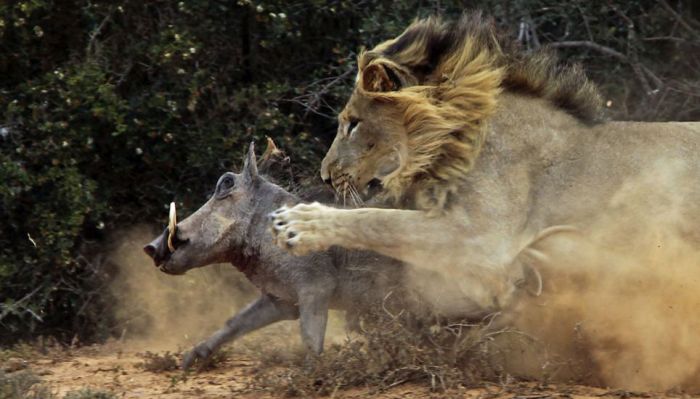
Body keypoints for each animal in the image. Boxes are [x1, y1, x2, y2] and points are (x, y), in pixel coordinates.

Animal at [266, 13, 696, 322]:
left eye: (353, 123)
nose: (325, 176)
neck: (454, 142)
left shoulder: (486, 237)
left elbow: (379, 221)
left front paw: (297, 223)